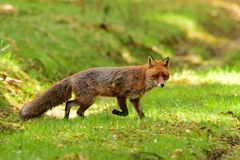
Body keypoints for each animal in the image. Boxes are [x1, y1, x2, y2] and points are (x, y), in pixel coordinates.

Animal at [20, 56, 171, 120]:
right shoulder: (121, 94)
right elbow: (126, 112)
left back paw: (67, 119)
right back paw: (84, 120)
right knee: (77, 110)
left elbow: (141, 113)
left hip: (85, 99)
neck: (141, 77)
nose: (162, 85)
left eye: (164, 75)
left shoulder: (135, 99)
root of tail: (73, 76)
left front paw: (145, 121)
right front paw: (115, 112)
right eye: (156, 76)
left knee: (69, 104)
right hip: (88, 100)